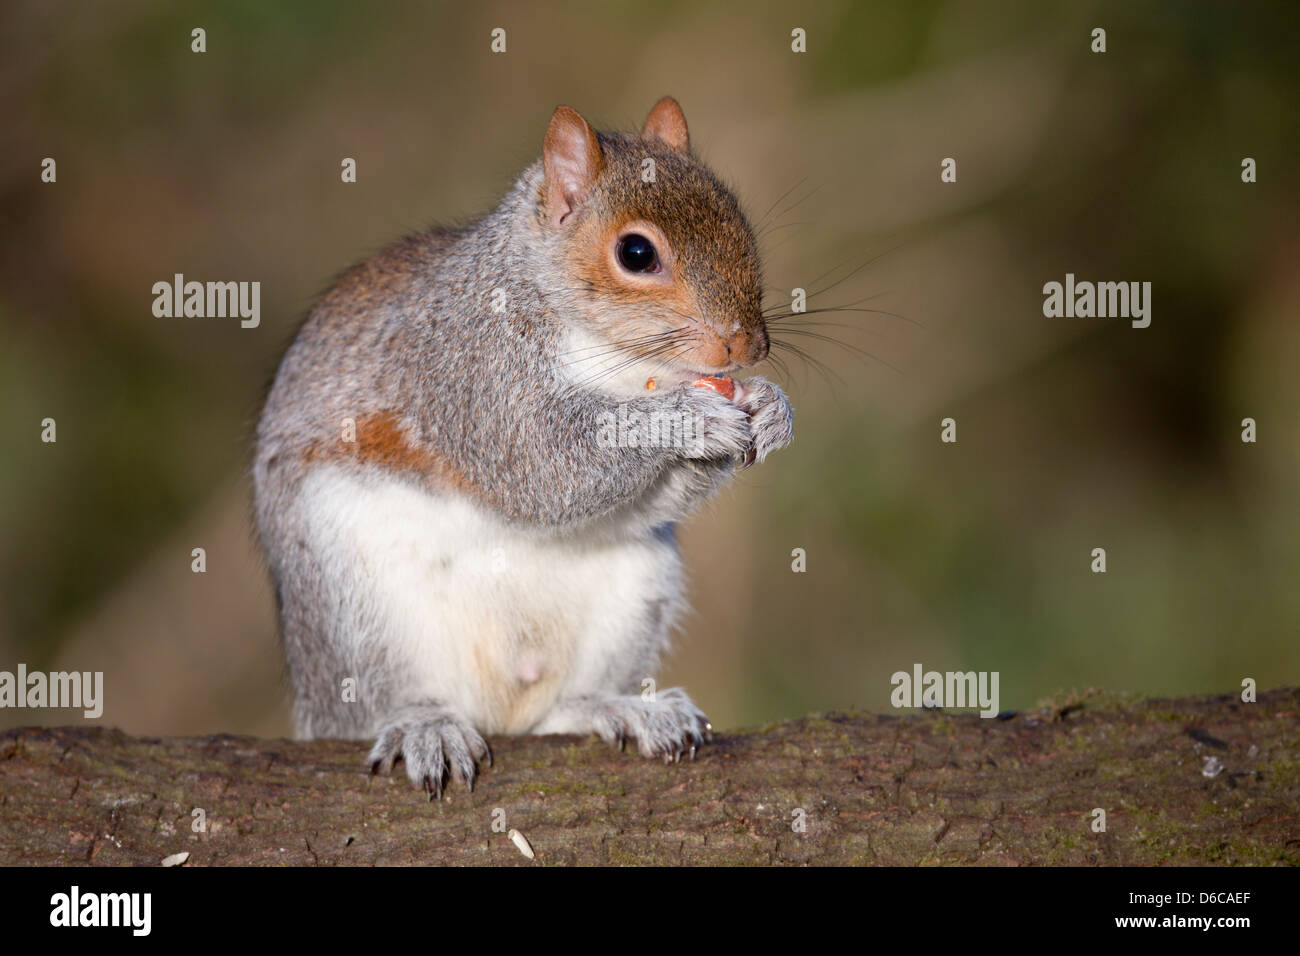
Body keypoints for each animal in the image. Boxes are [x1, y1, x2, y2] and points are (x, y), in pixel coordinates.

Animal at [252, 97, 794, 796]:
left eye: (739, 223)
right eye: (636, 252)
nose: (746, 346)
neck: (616, 362)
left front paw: (770, 407)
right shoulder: (472, 368)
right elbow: (541, 465)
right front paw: (684, 419)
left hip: (637, 588)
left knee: (553, 715)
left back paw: (621, 708)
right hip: (352, 604)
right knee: (379, 701)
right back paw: (425, 724)